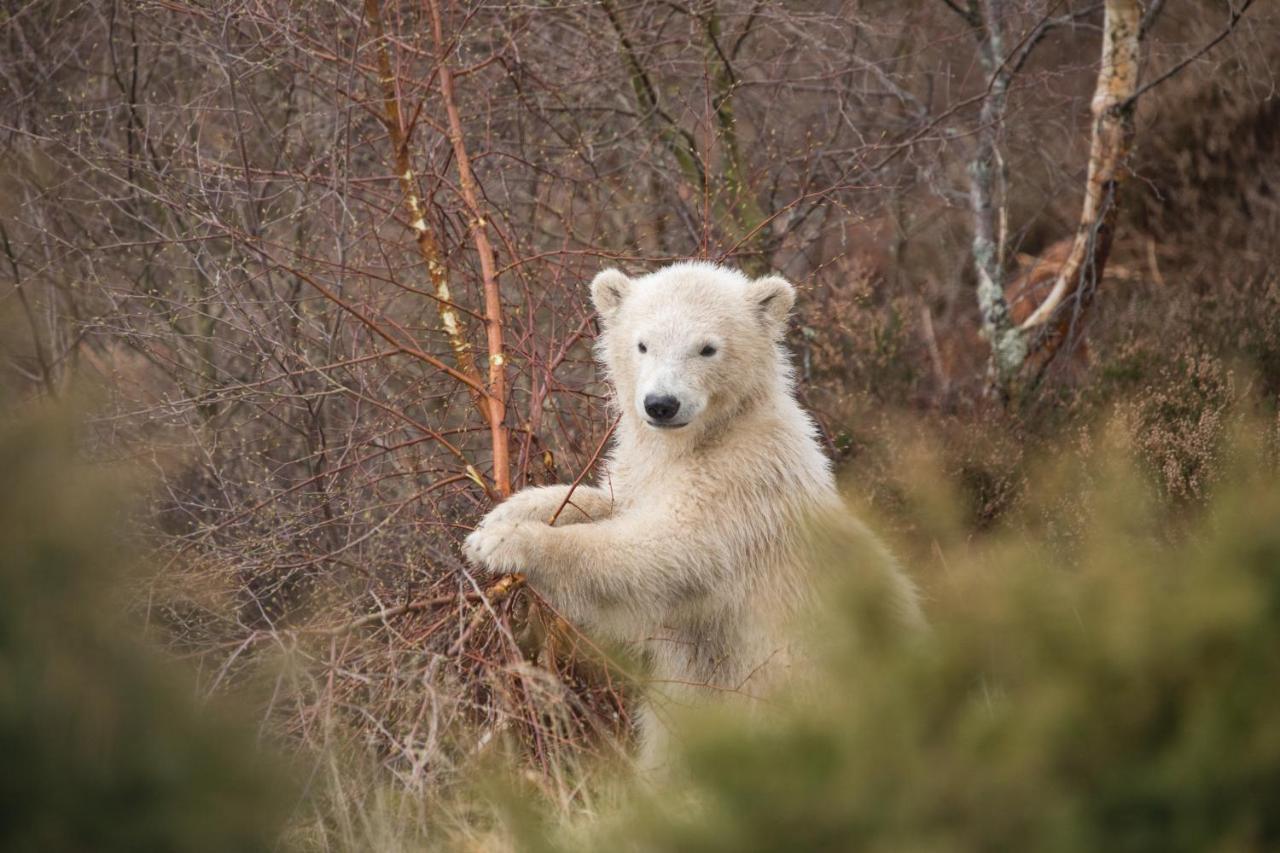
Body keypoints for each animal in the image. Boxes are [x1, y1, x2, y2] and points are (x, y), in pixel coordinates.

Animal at [465, 258, 916, 763]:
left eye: (707, 348)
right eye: (643, 343)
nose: (661, 404)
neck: (704, 438)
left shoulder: (743, 485)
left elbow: (665, 551)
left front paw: (505, 543)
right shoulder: (646, 469)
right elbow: (612, 500)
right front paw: (504, 515)